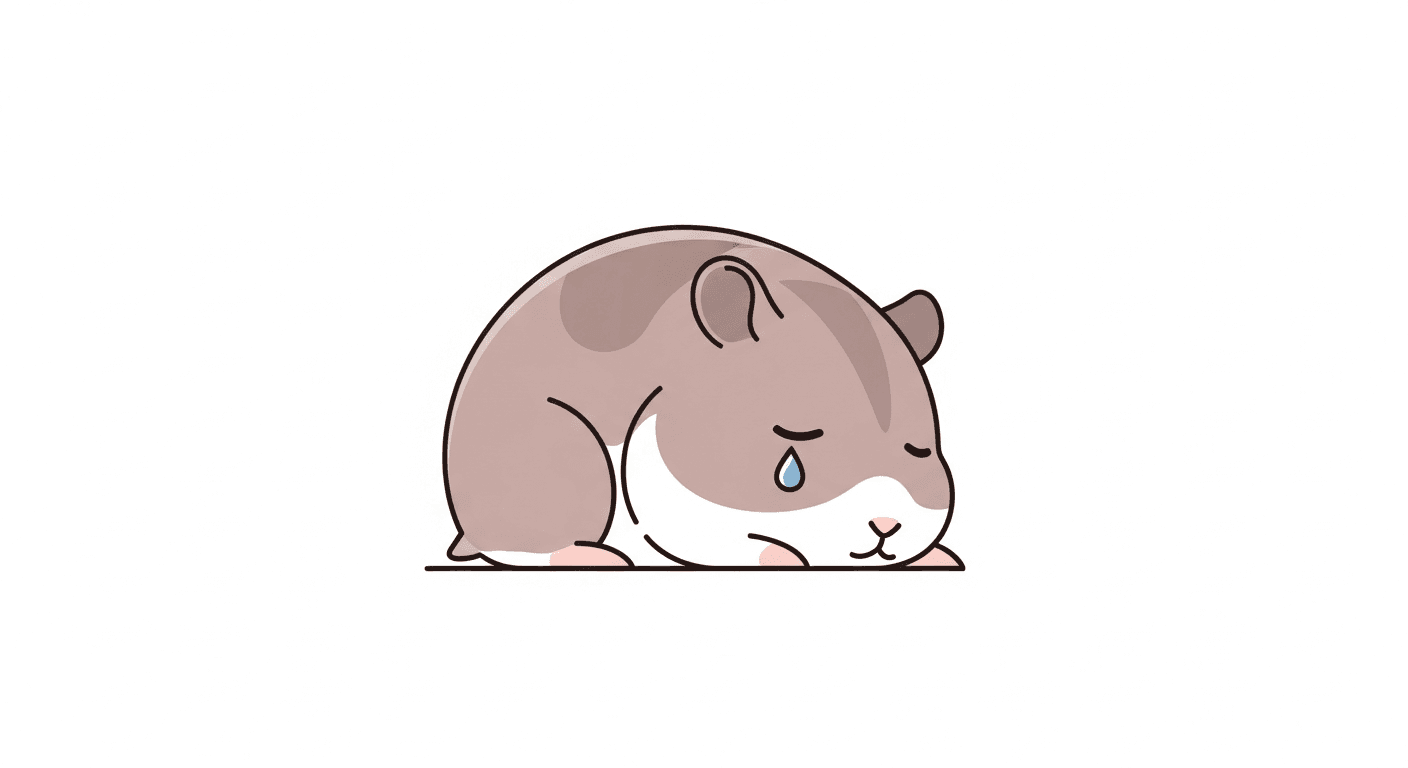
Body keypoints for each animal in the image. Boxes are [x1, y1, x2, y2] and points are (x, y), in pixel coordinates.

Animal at [441, 225, 960, 568]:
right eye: (790, 472)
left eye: (920, 451)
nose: (885, 525)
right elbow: (733, 539)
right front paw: (781, 555)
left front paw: (940, 557)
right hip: (563, 457)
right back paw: (601, 558)